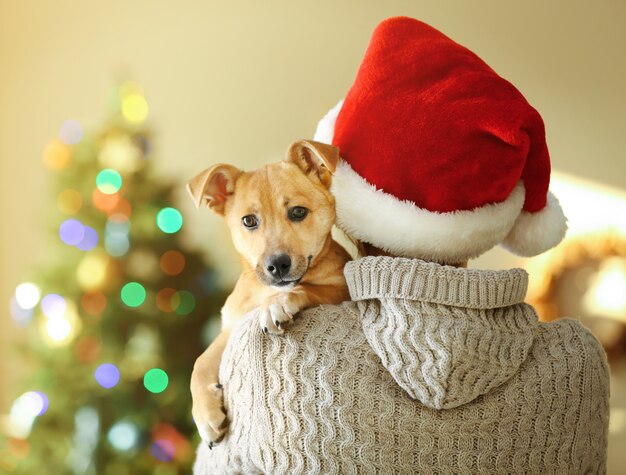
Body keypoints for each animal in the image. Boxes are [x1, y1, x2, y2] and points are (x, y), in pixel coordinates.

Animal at [185, 139, 352, 446]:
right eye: (249, 221)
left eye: (298, 212)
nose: (277, 265)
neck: (263, 290)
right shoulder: (231, 327)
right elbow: (200, 361)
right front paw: (204, 415)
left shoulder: (341, 289)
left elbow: (307, 287)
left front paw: (279, 303)